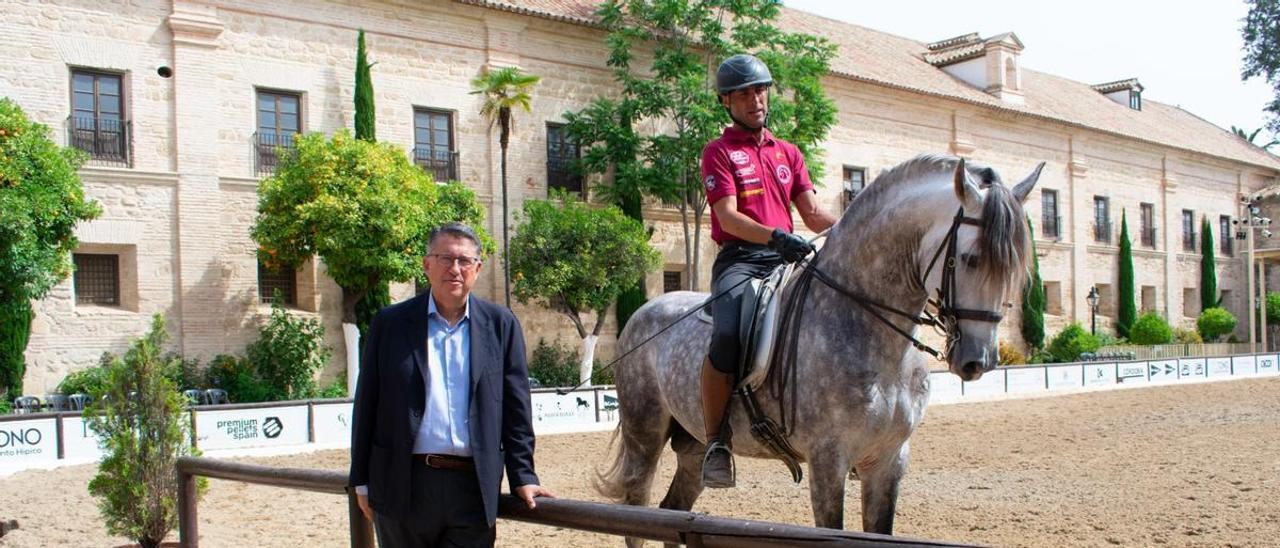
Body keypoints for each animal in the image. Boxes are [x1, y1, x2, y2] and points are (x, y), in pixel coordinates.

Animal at [596, 154, 1039, 540]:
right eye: (970, 258)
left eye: (1013, 268)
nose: (978, 361)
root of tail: (645, 311)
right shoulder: (829, 461)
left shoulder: (889, 460)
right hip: (644, 434)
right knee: (635, 515)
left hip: (691, 446)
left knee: (672, 513)